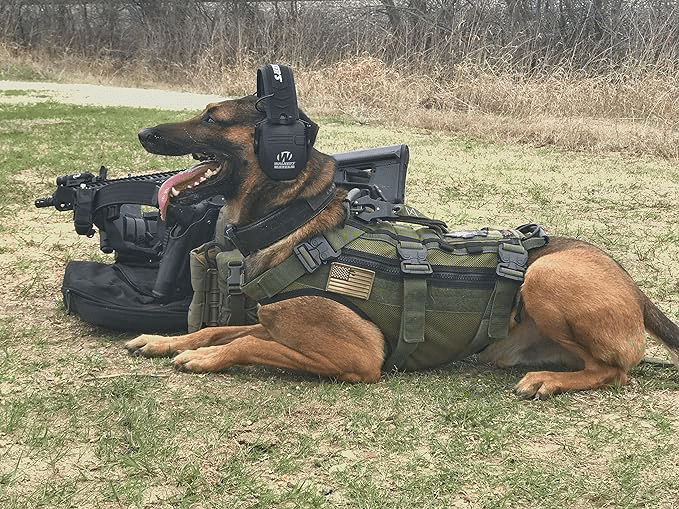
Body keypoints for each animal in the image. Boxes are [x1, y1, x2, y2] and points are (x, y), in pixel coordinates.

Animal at [125, 94, 676, 396]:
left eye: (213, 118)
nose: (144, 131)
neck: (296, 221)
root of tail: (632, 285)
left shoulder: (356, 354)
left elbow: (244, 342)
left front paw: (205, 359)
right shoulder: (271, 321)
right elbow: (216, 330)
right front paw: (165, 341)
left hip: (546, 274)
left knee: (614, 372)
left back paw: (551, 382)